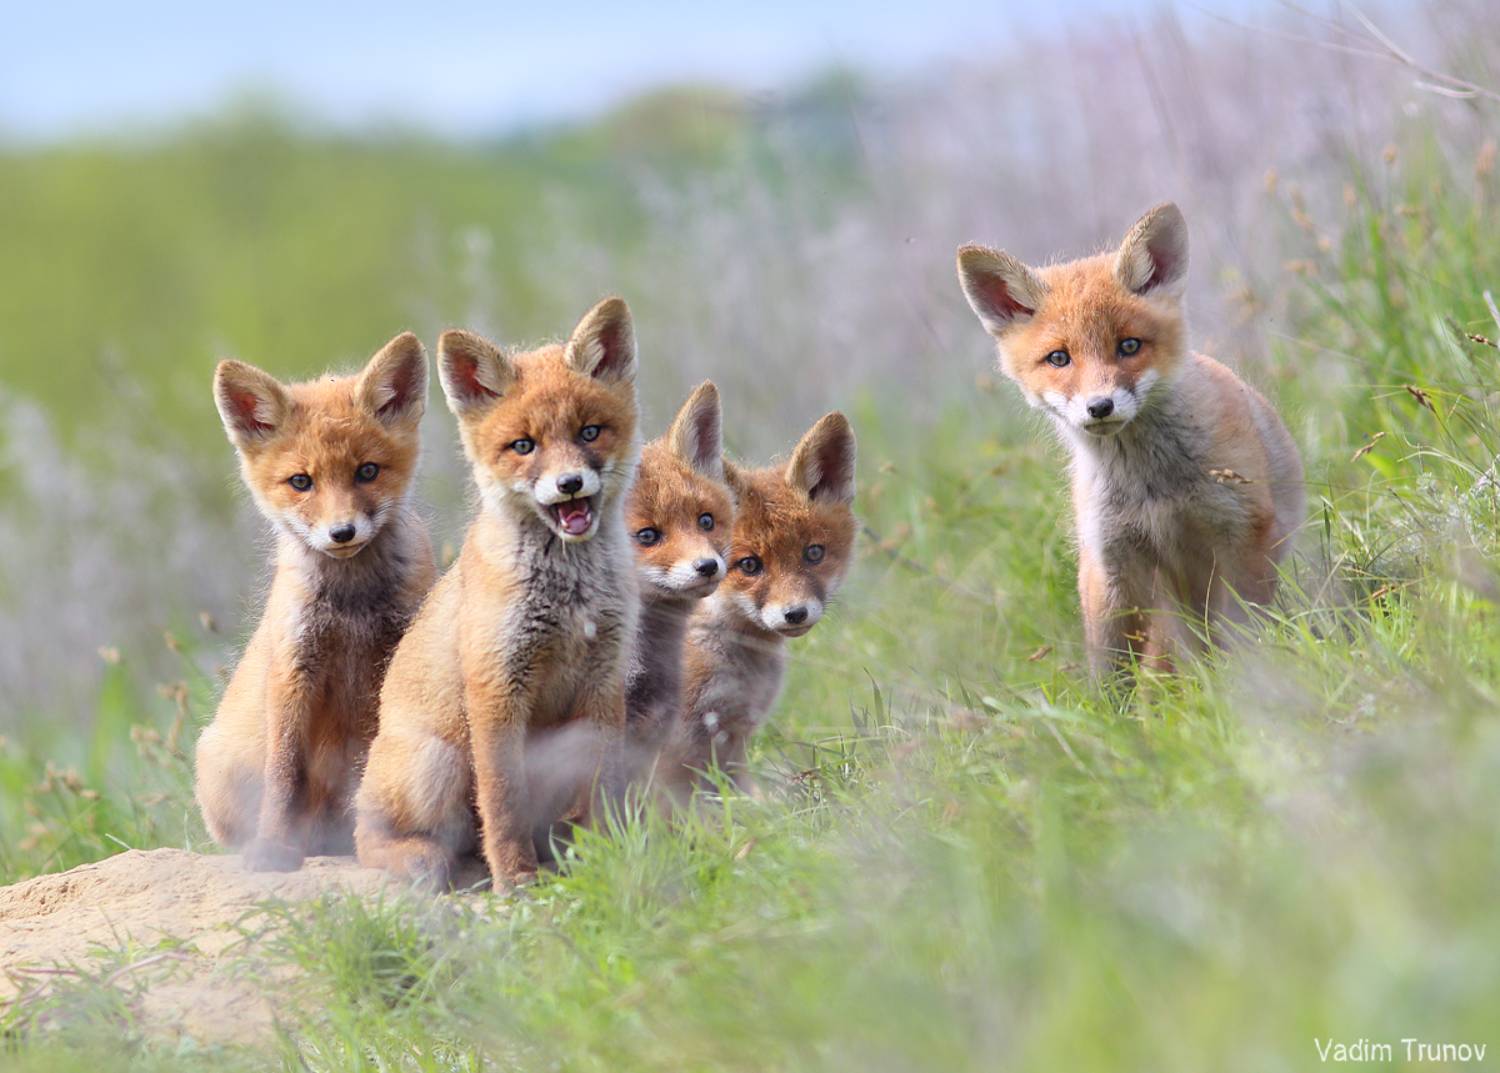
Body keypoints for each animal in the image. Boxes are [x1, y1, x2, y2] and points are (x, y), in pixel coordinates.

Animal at [194, 332, 435, 872]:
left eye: (367, 472)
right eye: (301, 482)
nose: (341, 532)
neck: (351, 608)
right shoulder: (294, 667)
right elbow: (283, 777)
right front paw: (271, 849)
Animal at [354, 298, 641, 889]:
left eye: (590, 432)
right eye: (523, 446)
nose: (570, 484)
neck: (570, 598)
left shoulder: (604, 680)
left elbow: (603, 785)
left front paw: (609, 856)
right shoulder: (496, 686)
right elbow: (503, 801)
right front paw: (517, 882)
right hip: (436, 763)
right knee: (365, 838)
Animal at [956, 202, 1304, 674]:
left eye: (1129, 346)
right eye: (1059, 358)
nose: (1100, 406)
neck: (1152, 490)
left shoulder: (1242, 531)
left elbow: (1243, 633)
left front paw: (1254, 682)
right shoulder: (1112, 561)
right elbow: (1110, 672)